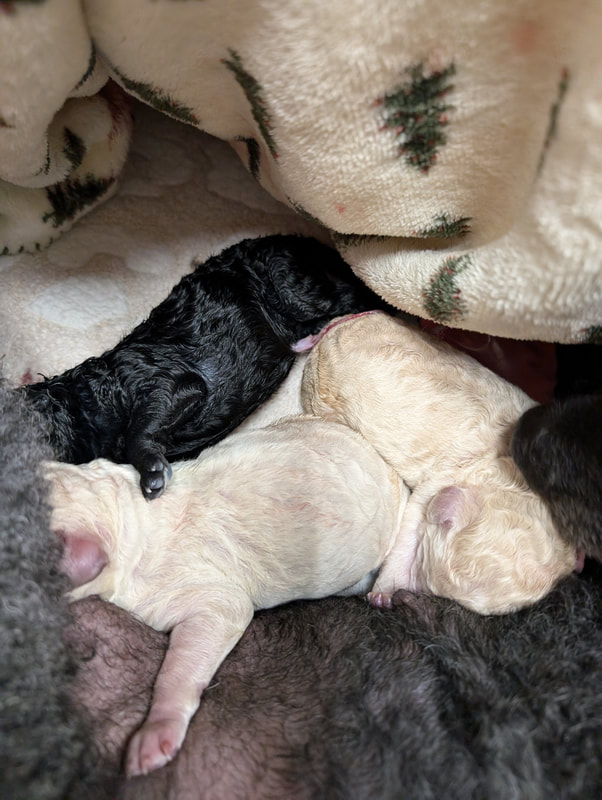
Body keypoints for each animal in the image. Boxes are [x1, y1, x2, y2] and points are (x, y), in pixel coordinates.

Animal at [24, 234, 392, 499]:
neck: (82, 404)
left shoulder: (169, 381)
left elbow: (140, 428)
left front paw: (152, 474)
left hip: (293, 284)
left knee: (349, 293)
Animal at [44, 414, 408, 776]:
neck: (123, 514)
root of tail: (378, 459)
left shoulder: (205, 597)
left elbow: (183, 664)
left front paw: (154, 735)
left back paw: (384, 590)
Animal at [301, 311, 577, 614]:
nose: (408, 597)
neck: (513, 476)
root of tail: (338, 327)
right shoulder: (443, 478)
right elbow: (410, 526)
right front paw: (382, 593)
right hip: (317, 395)